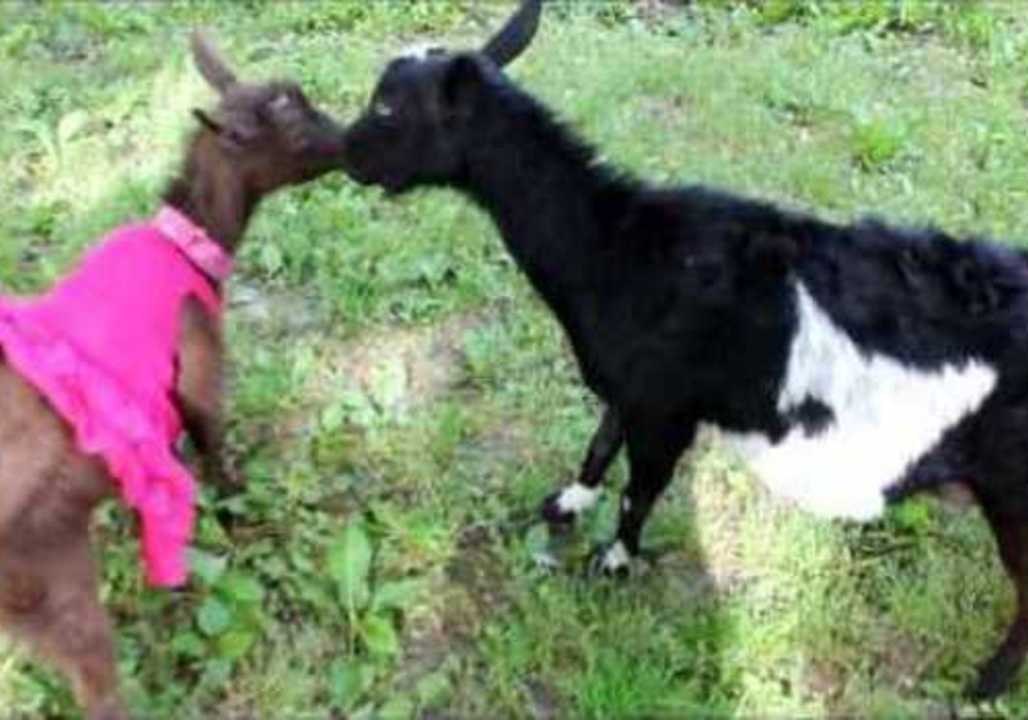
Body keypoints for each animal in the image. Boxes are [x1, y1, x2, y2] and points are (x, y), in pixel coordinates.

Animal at [0, 34, 345, 719]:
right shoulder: (200, 376)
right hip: (55, 578)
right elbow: (216, 456)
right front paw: (240, 526)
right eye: (296, 130)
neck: (186, 246)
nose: (352, 139)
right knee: (99, 690)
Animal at [332, 0, 1028, 700]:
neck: (616, 246)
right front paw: (566, 504)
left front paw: (613, 561)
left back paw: (984, 687)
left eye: (387, 107)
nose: (342, 154)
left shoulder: (665, 410)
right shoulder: (631, 384)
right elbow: (599, 445)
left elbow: (640, 489)